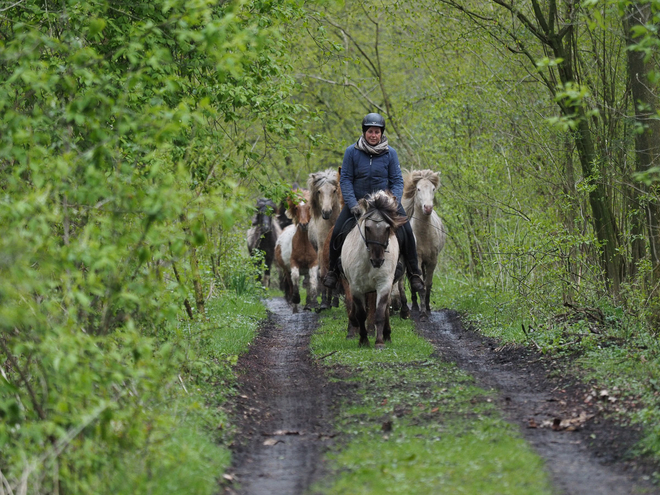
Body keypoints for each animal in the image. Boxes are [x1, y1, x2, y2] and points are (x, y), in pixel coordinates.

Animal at [340, 190, 408, 348]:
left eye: (388, 228)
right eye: (368, 227)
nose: (378, 261)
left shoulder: (384, 284)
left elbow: (380, 313)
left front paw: (379, 342)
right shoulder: (356, 287)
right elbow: (360, 314)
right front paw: (363, 341)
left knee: (386, 309)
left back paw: (387, 334)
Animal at [400, 170, 446, 318]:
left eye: (433, 189)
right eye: (418, 189)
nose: (428, 208)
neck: (424, 235)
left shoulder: (432, 260)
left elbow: (428, 284)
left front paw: (428, 308)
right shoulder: (417, 260)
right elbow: (420, 285)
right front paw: (423, 313)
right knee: (411, 279)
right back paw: (415, 306)